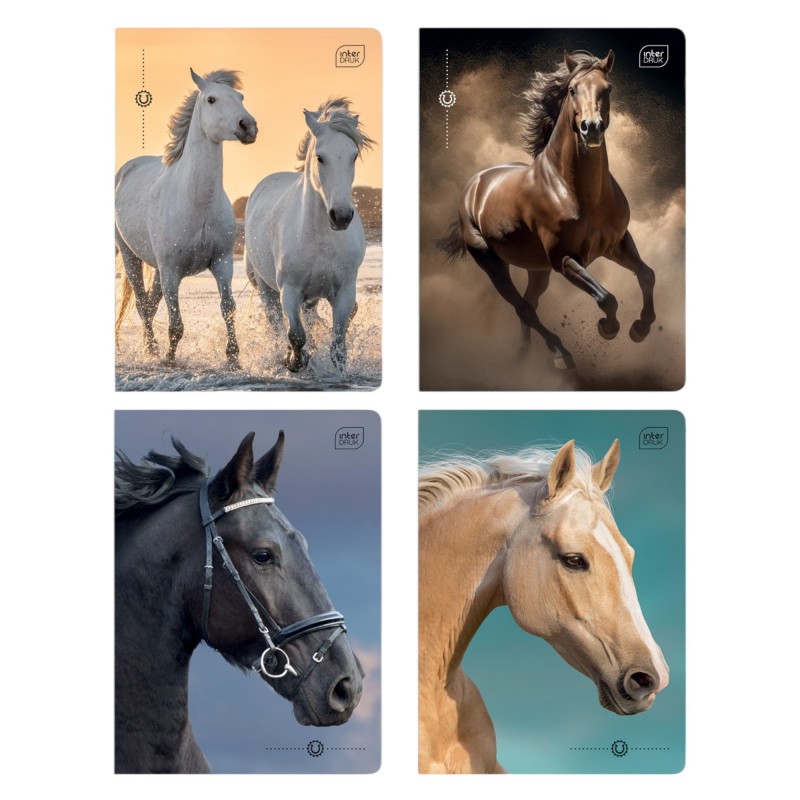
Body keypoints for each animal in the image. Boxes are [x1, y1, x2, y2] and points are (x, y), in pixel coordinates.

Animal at [115, 69, 258, 368]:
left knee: (149, 305)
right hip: (131, 256)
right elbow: (176, 322)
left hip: (158, 268)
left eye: (240, 97)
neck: (196, 204)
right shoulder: (171, 270)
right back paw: (153, 351)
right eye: (212, 99)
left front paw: (233, 358)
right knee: (142, 303)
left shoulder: (222, 262)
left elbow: (228, 308)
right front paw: (170, 360)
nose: (248, 127)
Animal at [245, 98, 374, 372]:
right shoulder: (290, 290)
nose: (341, 216)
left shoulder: (344, 291)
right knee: (275, 324)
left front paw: (334, 366)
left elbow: (337, 339)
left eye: (354, 156)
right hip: (266, 289)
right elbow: (295, 334)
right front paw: (294, 361)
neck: (320, 239)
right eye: (320, 157)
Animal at [441, 51, 656, 371]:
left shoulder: (617, 243)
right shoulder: (564, 259)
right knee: (524, 309)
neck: (580, 193)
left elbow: (646, 274)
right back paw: (560, 354)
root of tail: (474, 184)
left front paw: (640, 328)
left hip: (537, 269)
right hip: (491, 262)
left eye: (608, 88)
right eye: (572, 90)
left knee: (530, 303)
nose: (591, 128)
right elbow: (607, 298)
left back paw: (526, 354)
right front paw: (608, 328)